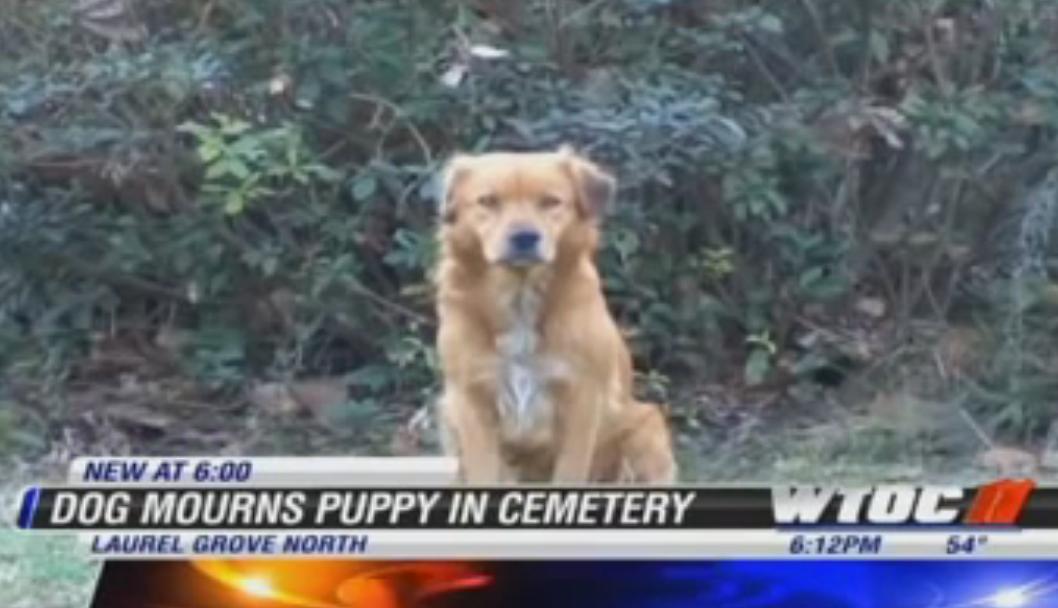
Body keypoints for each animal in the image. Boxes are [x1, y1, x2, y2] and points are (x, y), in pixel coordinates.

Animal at [431, 144, 672, 482]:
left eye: (550, 201)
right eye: (488, 201)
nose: (524, 237)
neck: (519, 296)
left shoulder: (582, 400)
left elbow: (570, 471)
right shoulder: (471, 400)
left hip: (647, 425)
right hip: (447, 413)